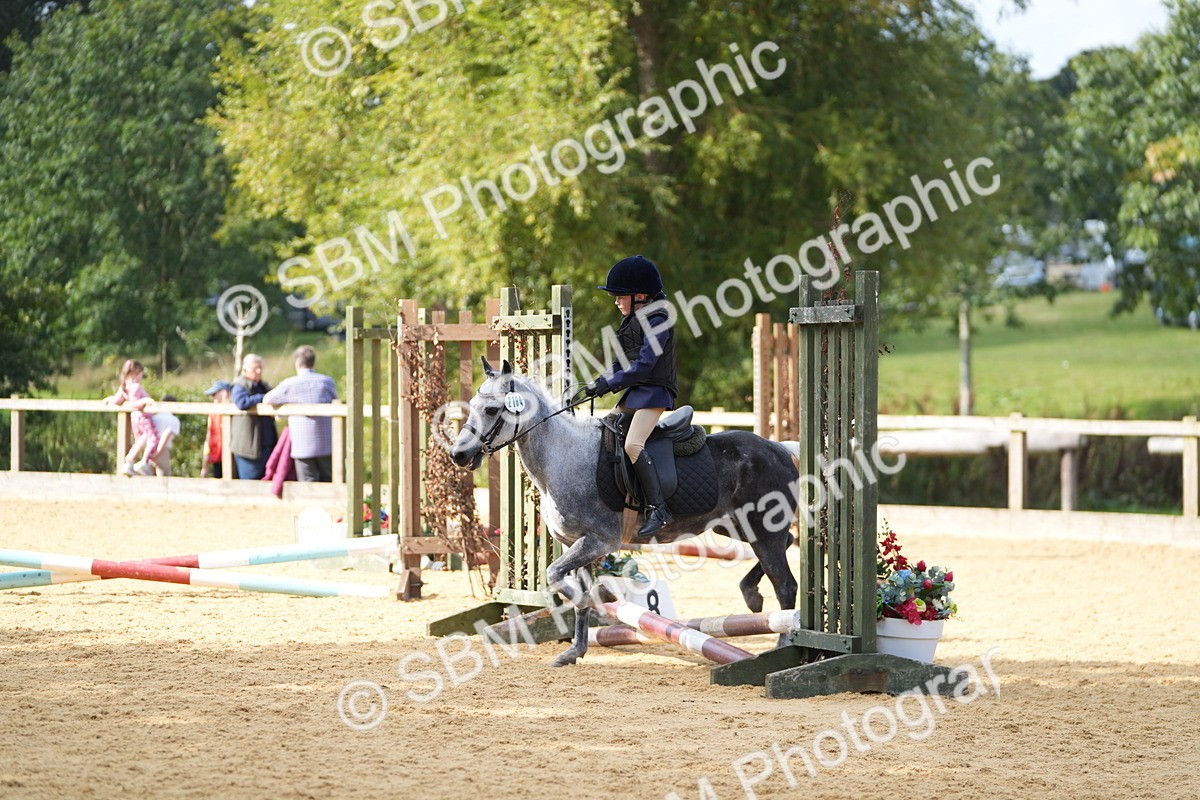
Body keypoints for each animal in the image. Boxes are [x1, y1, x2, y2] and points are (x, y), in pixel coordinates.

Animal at [449, 359, 801, 667]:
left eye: (491, 409)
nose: (458, 454)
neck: (563, 458)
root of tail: (780, 449)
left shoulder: (598, 542)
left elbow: (556, 577)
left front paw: (589, 608)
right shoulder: (577, 544)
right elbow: (575, 592)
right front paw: (574, 651)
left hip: (763, 529)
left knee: (786, 585)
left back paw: (782, 645)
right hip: (733, 526)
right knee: (787, 542)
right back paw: (751, 595)